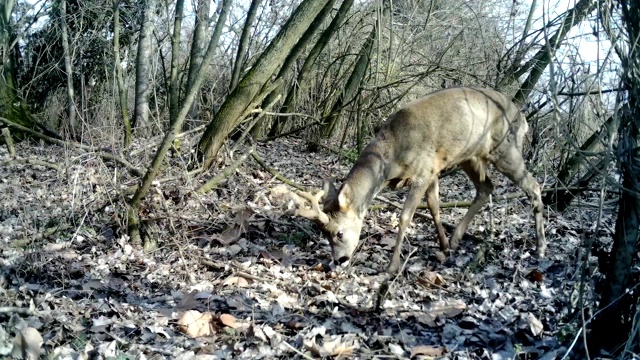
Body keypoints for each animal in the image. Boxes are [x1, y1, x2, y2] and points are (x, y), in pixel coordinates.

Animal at [290, 86, 544, 272]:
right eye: (324, 233)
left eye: (339, 232)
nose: (339, 260)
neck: (392, 153)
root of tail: (524, 118)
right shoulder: (433, 170)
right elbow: (434, 206)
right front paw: (444, 246)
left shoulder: (423, 171)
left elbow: (405, 217)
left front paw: (392, 266)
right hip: (469, 156)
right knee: (486, 187)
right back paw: (456, 238)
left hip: (505, 149)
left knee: (533, 185)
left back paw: (541, 247)